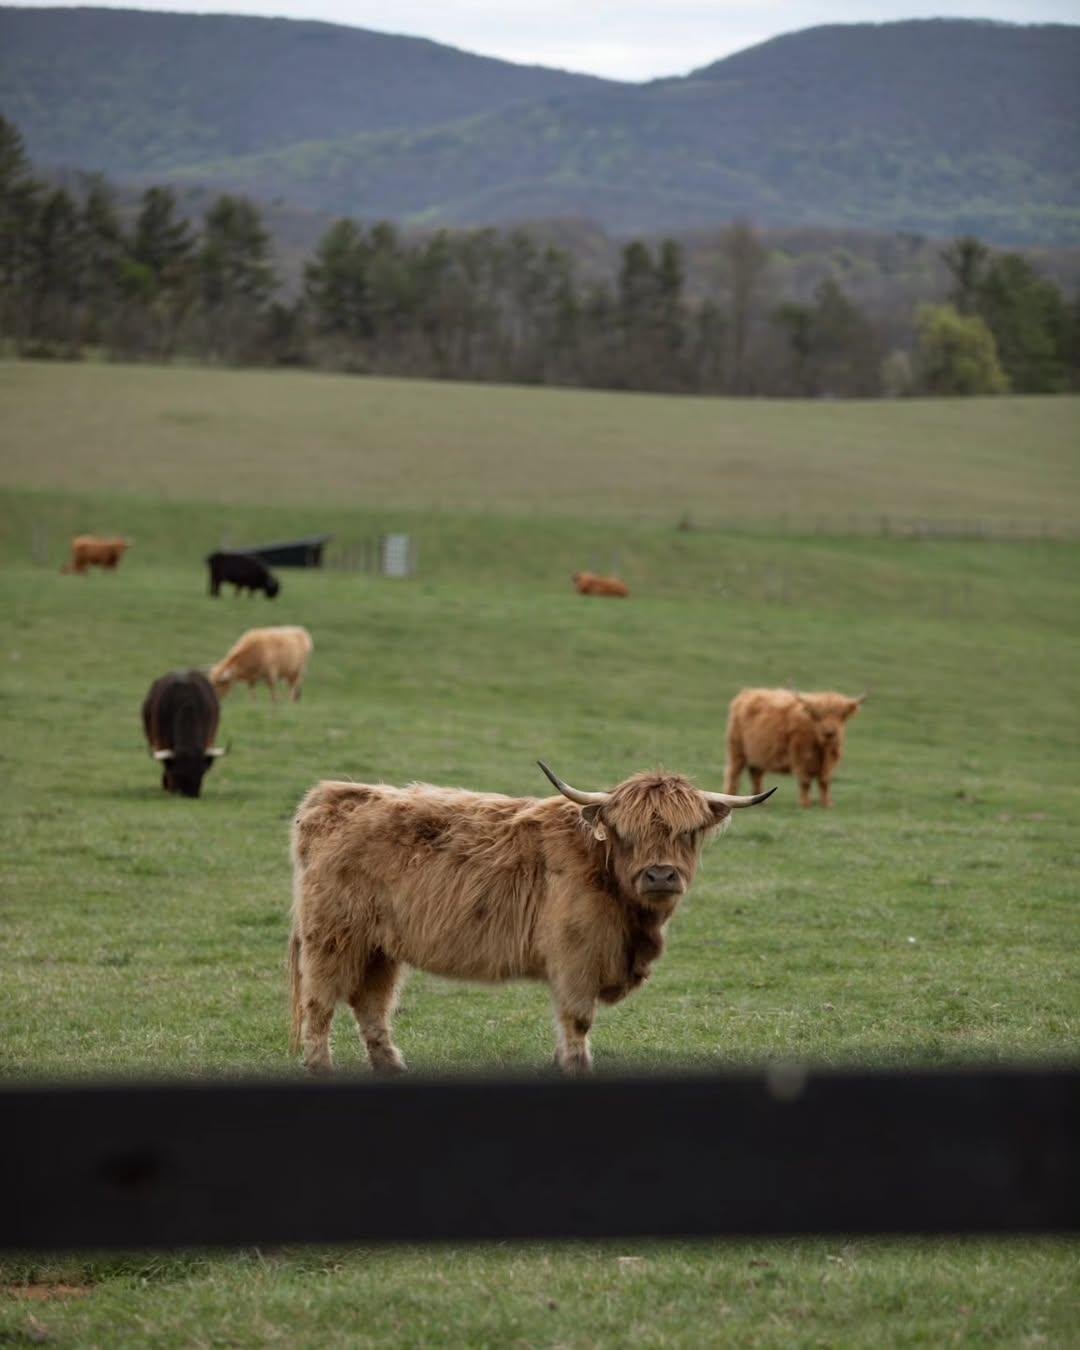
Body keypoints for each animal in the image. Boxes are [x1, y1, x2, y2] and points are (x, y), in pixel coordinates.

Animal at [289, 761, 774, 1075]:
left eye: (687, 832)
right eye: (625, 832)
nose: (660, 874)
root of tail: (333, 797)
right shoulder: (576, 958)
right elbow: (577, 1020)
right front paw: (576, 1068)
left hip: (379, 948)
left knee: (372, 1005)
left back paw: (392, 1067)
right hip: (332, 938)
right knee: (320, 1003)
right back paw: (321, 1067)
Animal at [725, 687, 866, 808]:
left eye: (842, 715)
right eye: (817, 715)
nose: (829, 733)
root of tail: (747, 693)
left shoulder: (830, 762)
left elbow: (824, 782)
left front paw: (827, 804)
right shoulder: (801, 758)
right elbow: (805, 782)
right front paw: (805, 804)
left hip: (758, 755)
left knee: (756, 775)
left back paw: (762, 803)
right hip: (737, 750)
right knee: (734, 773)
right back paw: (731, 795)